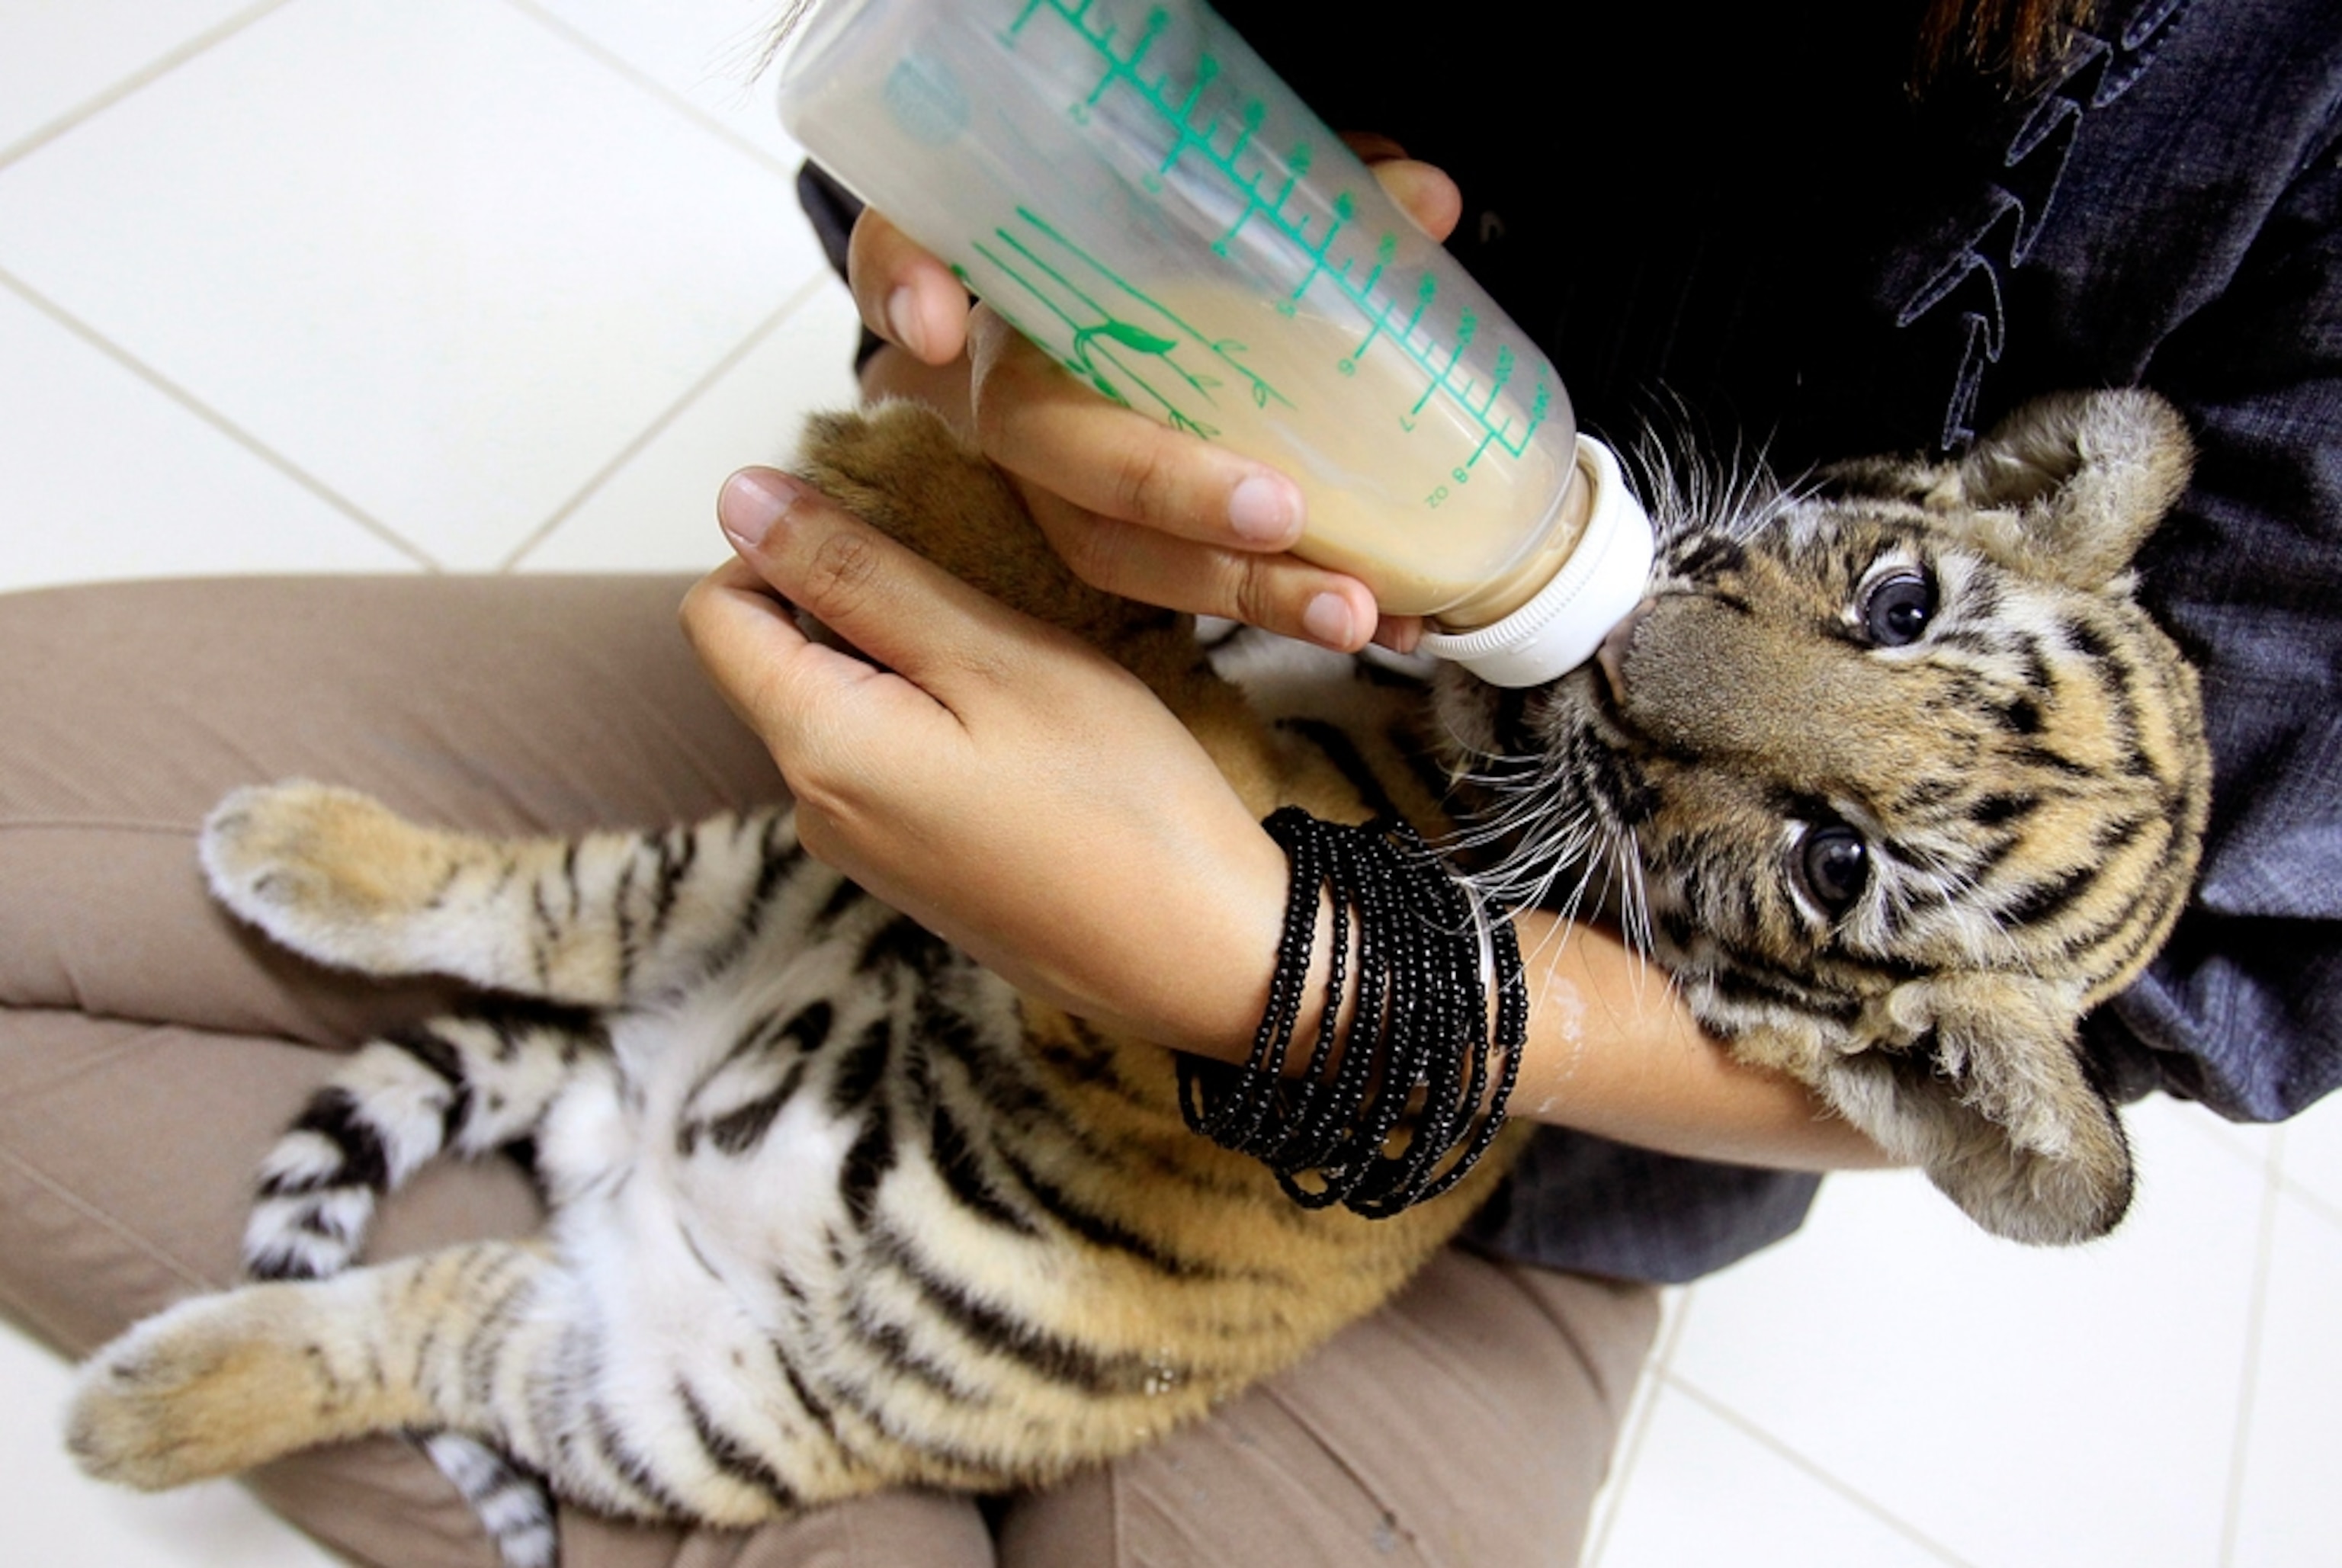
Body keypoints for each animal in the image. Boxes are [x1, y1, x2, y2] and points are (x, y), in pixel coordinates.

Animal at [64, 387, 2208, 1567]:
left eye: (1830, 858)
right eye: (1895, 601)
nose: (1616, 656)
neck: (1469, 743)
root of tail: (634, 1126)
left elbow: (1152, 687)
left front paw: (916, 475)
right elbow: (1158, 604)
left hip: (673, 1402)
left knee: (413, 1323)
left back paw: (128, 1409)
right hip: (731, 880)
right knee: (527, 910)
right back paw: (295, 846)